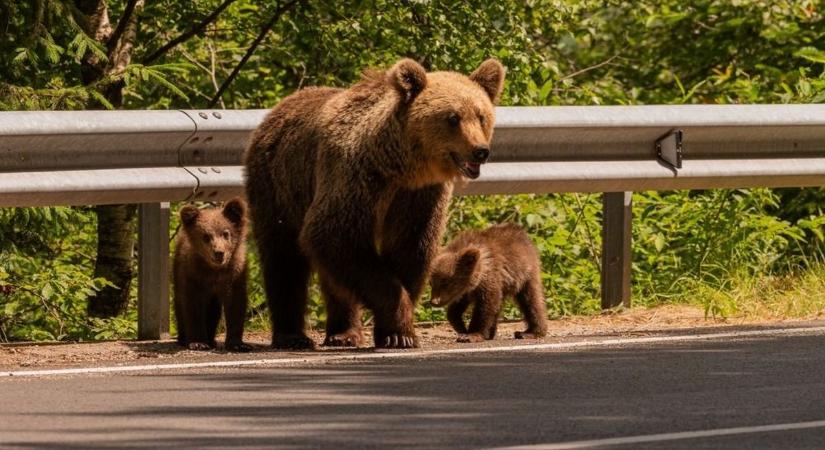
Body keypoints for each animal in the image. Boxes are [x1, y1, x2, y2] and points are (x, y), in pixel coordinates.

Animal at [241, 58, 506, 350]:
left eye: (481, 116)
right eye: (453, 118)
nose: (480, 151)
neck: (401, 167)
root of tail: (276, 109)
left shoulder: (419, 196)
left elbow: (410, 248)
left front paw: (392, 333)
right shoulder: (357, 179)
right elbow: (336, 235)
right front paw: (401, 329)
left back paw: (343, 333)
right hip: (278, 185)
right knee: (283, 256)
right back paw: (293, 336)